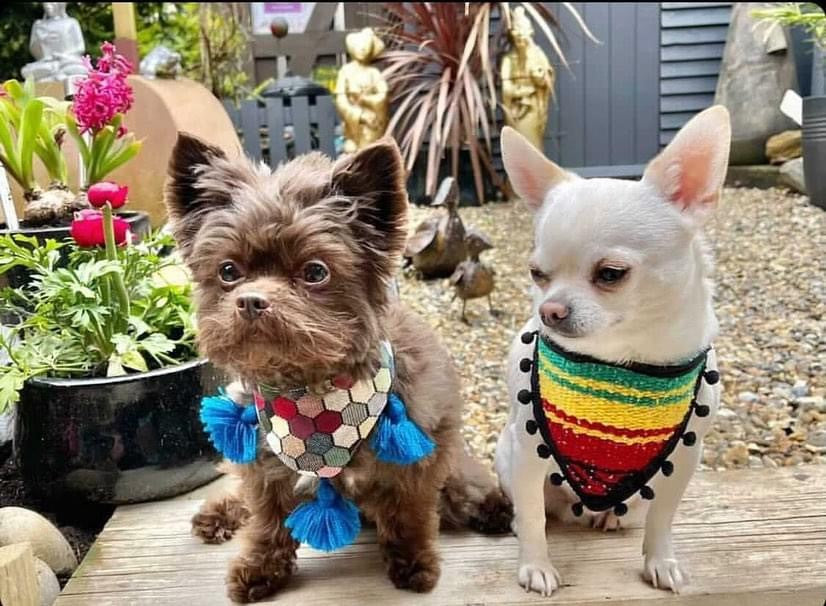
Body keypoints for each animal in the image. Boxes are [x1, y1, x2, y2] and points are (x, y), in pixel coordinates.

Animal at [165, 135, 512, 604]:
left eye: (315, 271)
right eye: (228, 271)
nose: (251, 300)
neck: (311, 395)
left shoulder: (423, 454)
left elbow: (409, 514)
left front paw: (413, 563)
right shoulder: (264, 467)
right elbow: (267, 520)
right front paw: (261, 568)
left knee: (463, 486)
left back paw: (492, 506)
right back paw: (218, 512)